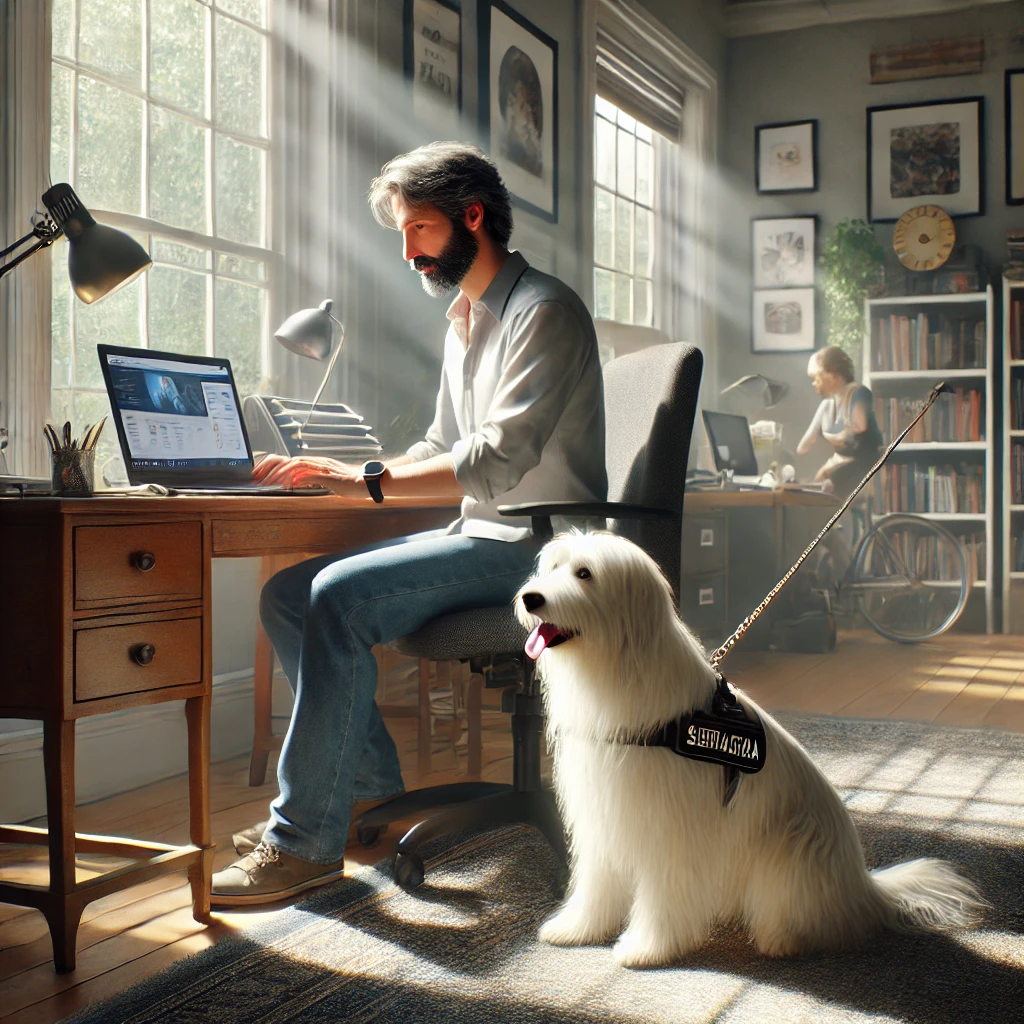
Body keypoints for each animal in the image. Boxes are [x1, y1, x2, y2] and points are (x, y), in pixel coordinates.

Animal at [516, 532, 987, 970]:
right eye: (553, 566)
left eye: (584, 574)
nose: (530, 597)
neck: (620, 666)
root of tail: (864, 888)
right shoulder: (604, 815)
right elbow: (596, 884)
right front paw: (577, 928)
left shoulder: (670, 830)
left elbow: (662, 894)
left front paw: (647, 948)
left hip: (788, 852)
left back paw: (782, 940)